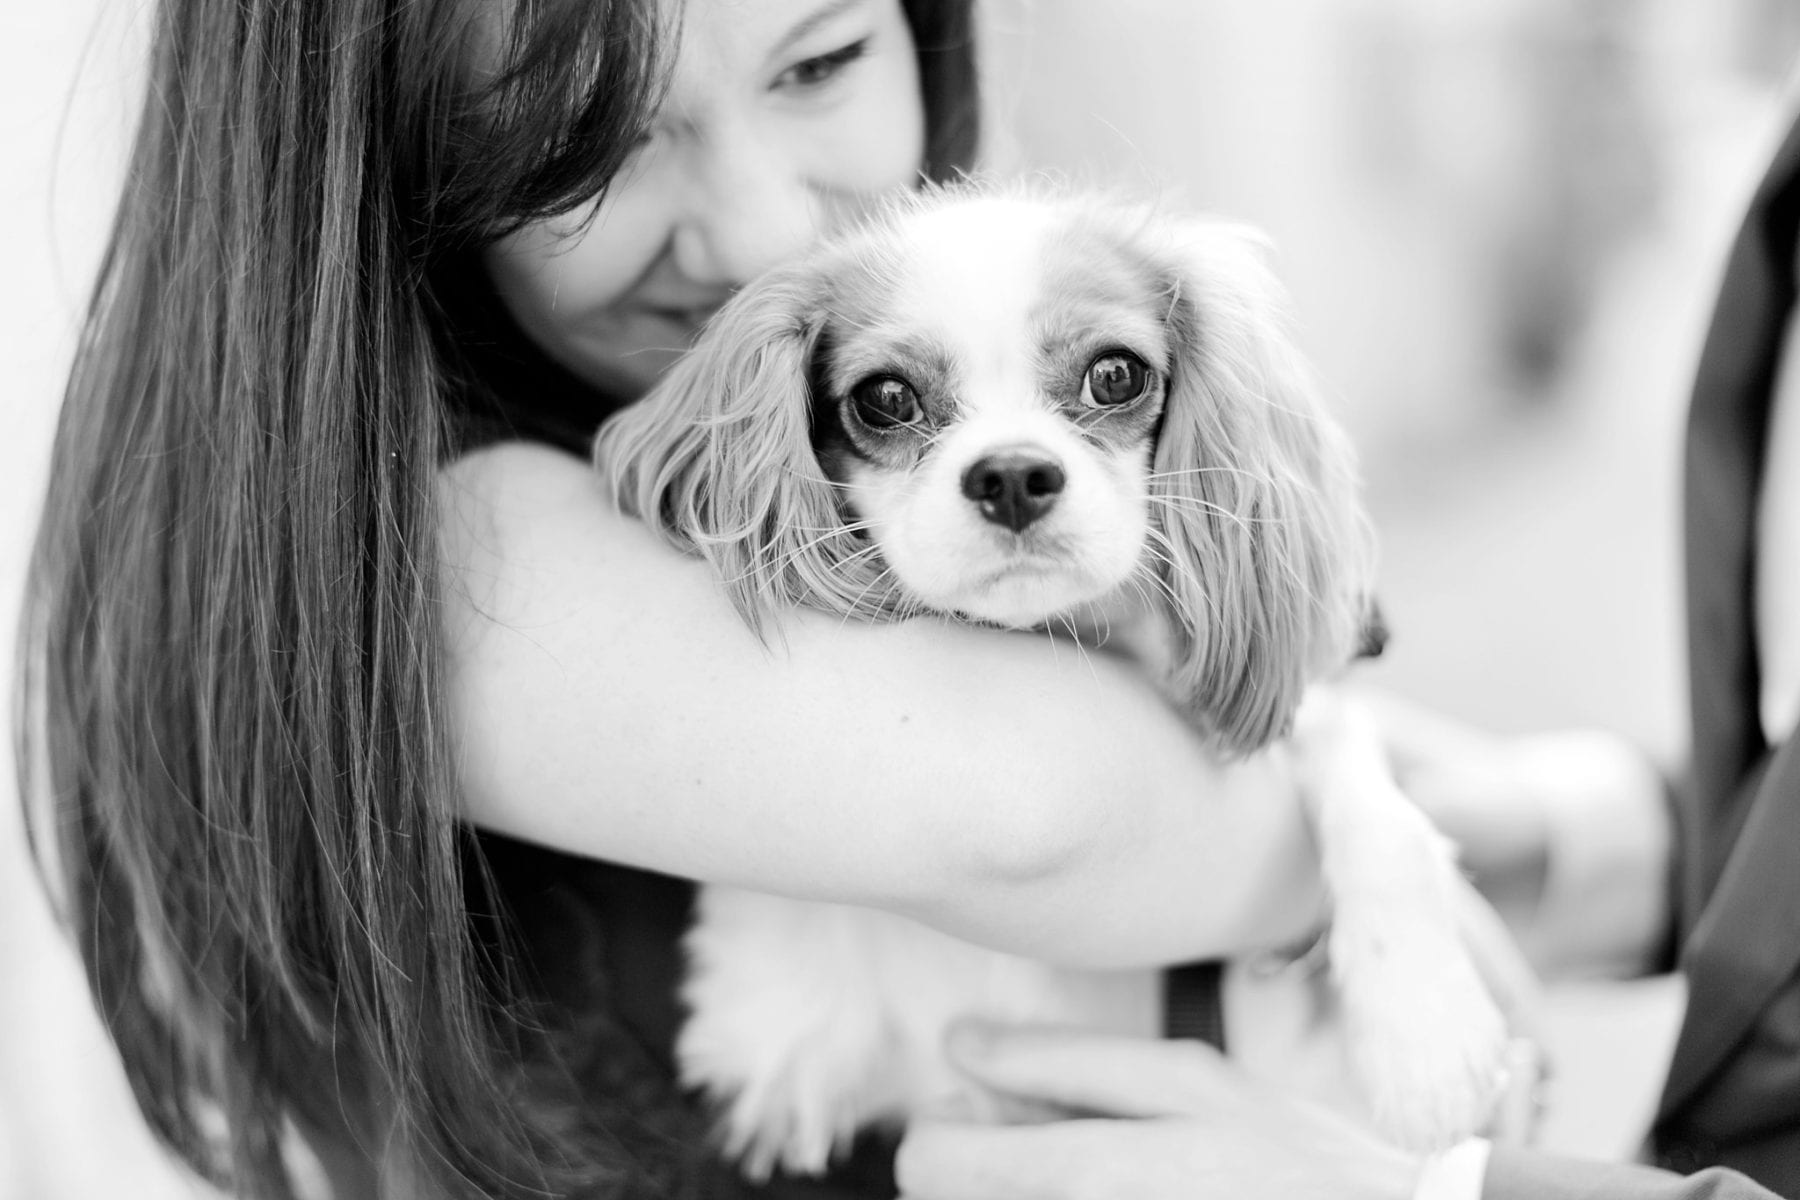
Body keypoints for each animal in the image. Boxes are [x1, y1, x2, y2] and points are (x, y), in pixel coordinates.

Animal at [594, 183, 1519, 1180]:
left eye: (1115, 376)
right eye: (886, 398)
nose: (1011, 474)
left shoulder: (1312, 726)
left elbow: (1372, 802)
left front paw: (1426, 1034)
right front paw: (780, 1020)